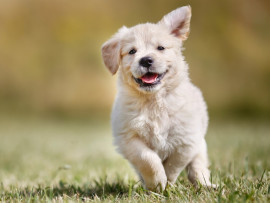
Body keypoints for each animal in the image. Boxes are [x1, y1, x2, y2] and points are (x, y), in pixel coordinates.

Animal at [100, 5, 214, 191]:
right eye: (132, 51)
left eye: (160, 48)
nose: (146, 60)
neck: (153, 100)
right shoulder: (128, 137)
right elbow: (148, 160)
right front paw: (157, 184)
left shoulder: (186, 140)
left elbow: (173, 165)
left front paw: (167, 184)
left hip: (200, 145)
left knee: (198, 167)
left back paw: (206, 185)